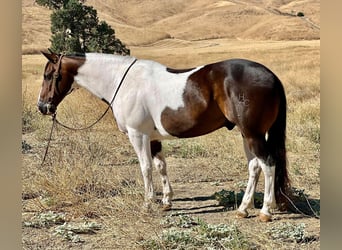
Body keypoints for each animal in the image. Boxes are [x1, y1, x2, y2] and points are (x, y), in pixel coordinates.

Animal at [38, 50, 288, 221]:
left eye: (49, 75)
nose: (43, 107)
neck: (123, 82)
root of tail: (271, 76)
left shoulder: (138, 135)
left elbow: (145, 168)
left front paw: (148, 204)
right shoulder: (153, 138)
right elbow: (160, 166)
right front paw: (166, 201)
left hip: (253, 134)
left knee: (268, 164)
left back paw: (266, 210)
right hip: (247, 135)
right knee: (254, 167)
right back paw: (243, 208)